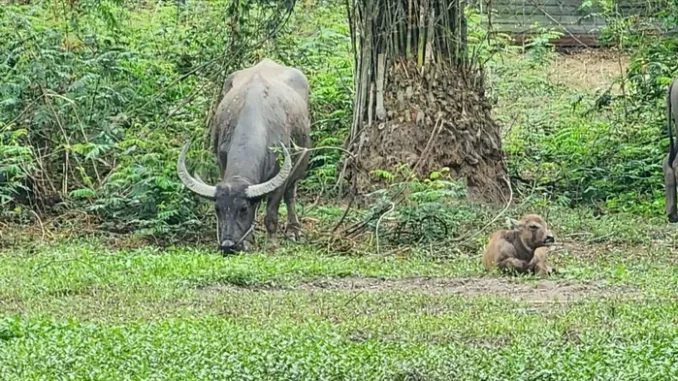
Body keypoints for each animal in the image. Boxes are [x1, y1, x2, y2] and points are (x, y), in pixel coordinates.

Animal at [177, 58, 312, 252]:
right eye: (218, 209)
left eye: (242, 209)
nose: (228, 245)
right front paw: (248, 240)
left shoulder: (281, 177)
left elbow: (271, 212)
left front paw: (272, 243)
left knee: (290, 194)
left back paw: (294, 231)